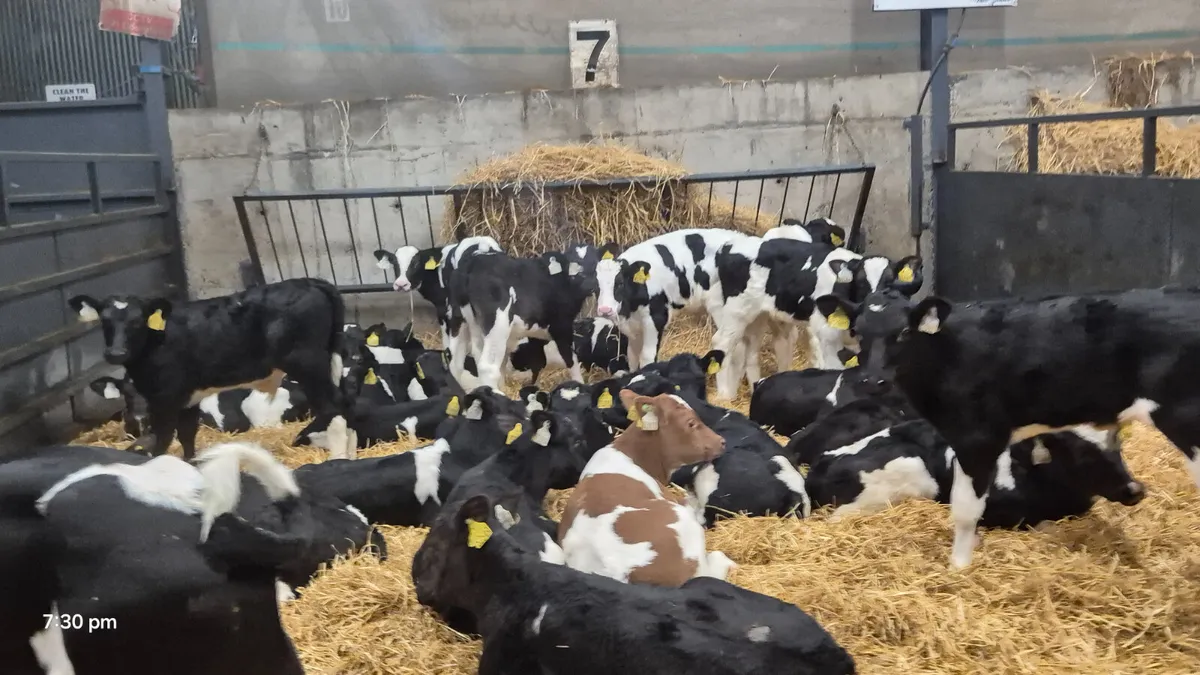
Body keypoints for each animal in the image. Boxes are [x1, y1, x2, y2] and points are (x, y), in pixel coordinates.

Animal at [69, 278, 345, 458]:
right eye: (104, 321)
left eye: (138, 321)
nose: (116, 353)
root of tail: (311, 282)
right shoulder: (188, 398)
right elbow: (187, 436)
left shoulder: (164, 399)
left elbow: (162, 440)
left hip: (308, 365)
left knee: (333, 412)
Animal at [446, 249, 596, 390]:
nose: (591, 286)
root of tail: (470, 265)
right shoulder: (561, 326)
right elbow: (571, 359)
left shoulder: (536, 334)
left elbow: (534, 362)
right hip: (497, 324)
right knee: (487, 367)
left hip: (459, 321)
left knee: (456, 363)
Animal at [815, 285, 1200, 568]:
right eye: (856, 331)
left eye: (905, 332)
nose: (873, 380)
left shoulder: (977, 438)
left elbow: (966, 510)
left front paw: (958, 567)